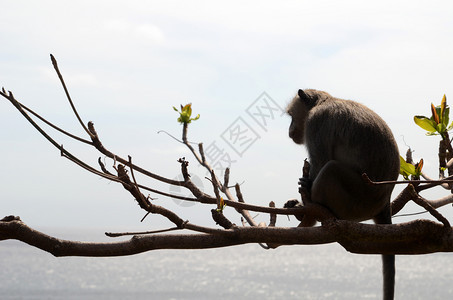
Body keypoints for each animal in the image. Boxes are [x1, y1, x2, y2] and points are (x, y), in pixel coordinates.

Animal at [286, 89, 400, 300]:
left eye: (291, 117)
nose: (289, 130)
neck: (324, 101)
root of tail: (383, 202)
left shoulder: (316, 123)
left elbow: (320, 161)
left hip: (358, 201)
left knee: (330, 169)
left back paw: (315, 212)